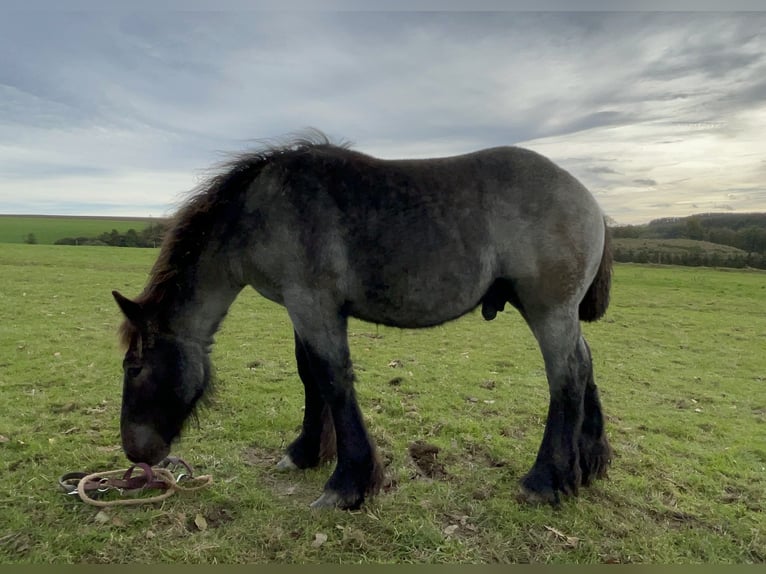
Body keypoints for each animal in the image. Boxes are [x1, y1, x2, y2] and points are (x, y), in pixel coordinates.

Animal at [114, 132, 616, 512]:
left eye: (134, 368)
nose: (135, 453)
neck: (261, 210)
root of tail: (588, 199)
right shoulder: (300, 308)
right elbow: (310, 377)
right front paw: (306, 453)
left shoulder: (313, 305)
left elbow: (333, 381)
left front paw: (348, 483)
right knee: (585, 364)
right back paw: (589, 463)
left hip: (548, 311)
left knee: (567, 377)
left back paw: (546, 480)